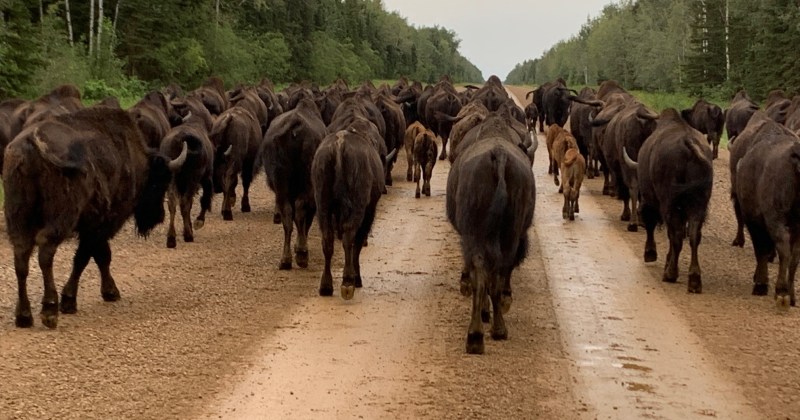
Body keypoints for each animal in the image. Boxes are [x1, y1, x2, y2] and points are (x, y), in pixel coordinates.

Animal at [3, 107, 185, 328]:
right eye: (159, 182)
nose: (158, 216)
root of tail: (33, 140)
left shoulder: (94, 228)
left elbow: (98, 256)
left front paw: (109, 292)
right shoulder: (99, 225)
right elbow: (89, 257)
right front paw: (71, 300)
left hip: (18, 217)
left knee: (21, 256)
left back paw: (24, 316)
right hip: (61, 218)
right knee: (45, 251)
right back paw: (50, 311)